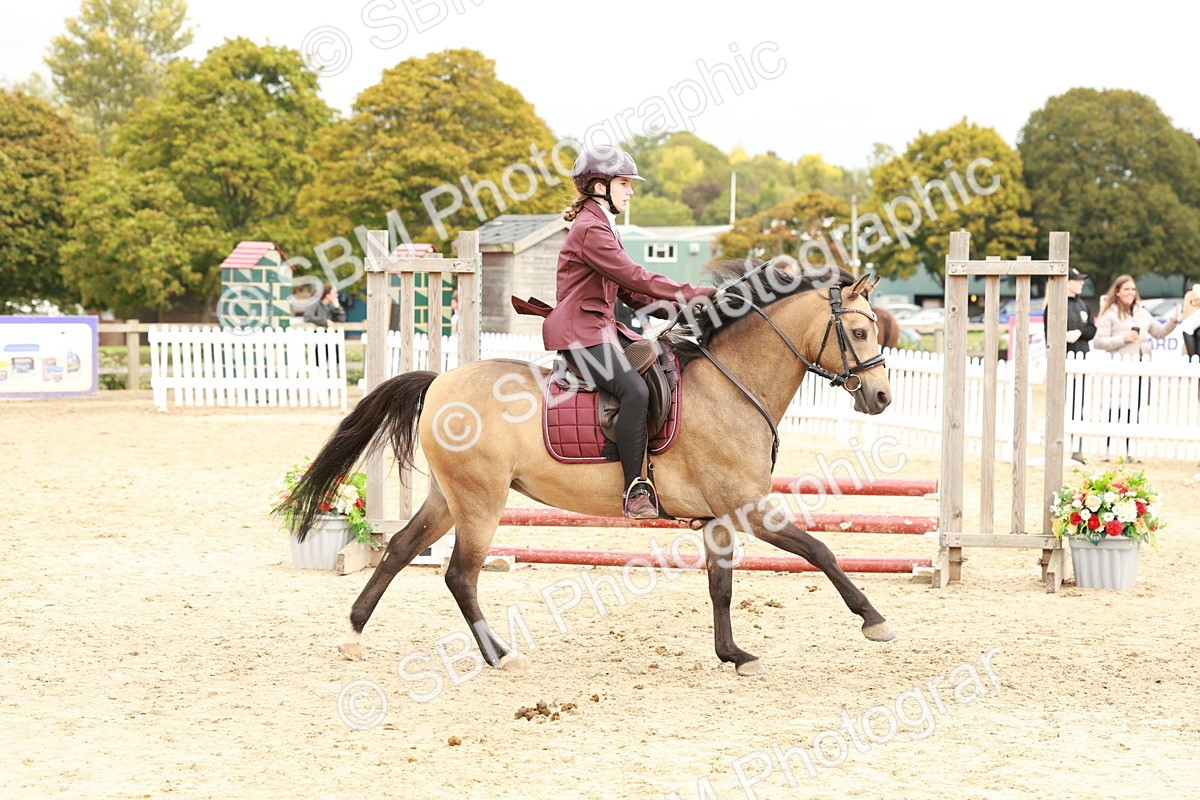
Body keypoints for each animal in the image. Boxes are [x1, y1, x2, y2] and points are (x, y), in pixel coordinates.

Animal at [282, 264, 895, 676]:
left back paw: (353, 633)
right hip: (481, 501)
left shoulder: (720, 517)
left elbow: (721, 586)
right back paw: (497, 654)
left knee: (400, 549)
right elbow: (820, 551)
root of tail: (439, 382)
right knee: (460, 574)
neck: (731, 385)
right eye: (860, 332)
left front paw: (733, 654)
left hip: (447, 496)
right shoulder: (749, 508)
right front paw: (874, 620)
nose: (882, 396)